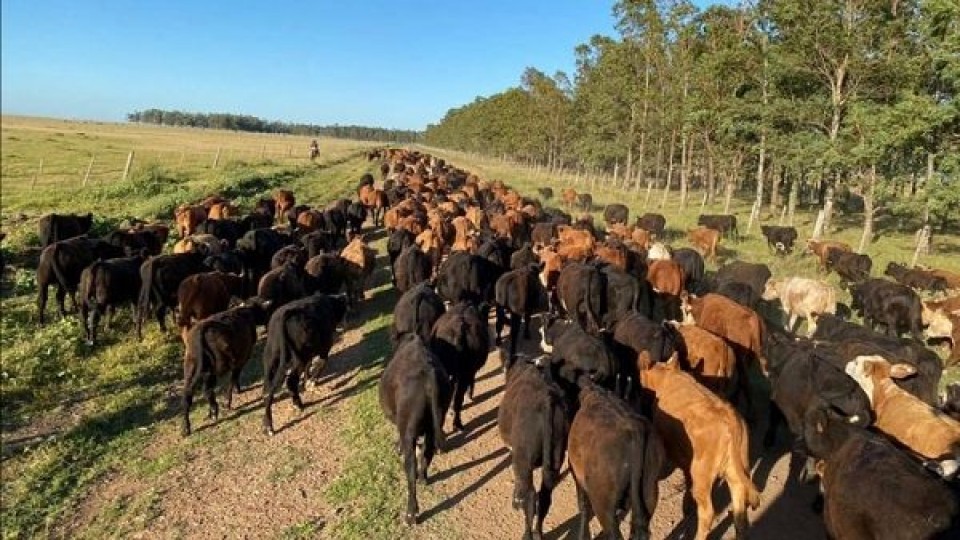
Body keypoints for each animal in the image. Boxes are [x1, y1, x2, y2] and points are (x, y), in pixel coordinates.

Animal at [180, 302, 268, 436]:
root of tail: (202, 328)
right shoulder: (242, 358)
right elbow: (234, 377)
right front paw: (232, 397)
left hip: (191, 368)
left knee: (188, 395)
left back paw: (187, 427)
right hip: (215, 368)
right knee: (207, 390)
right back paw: (214, 410)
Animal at [262, 292, 348, 434]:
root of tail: (285, 313)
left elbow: (310, 367)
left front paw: (307, 381)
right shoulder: (325, 348)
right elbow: (321, 363)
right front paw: (311, 383)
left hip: (271, 360)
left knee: (268, 390)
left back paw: (268, 424)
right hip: (300, 358)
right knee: (290, 381)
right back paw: (298, 404)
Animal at [376, 336, 452, 524]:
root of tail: (429, 378)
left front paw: (397, 447)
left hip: (409, 432)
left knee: (411, 469)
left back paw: (411, 513)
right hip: (434, 426)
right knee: (427, 453)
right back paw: (423, 478)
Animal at [640, 354, 760, 540]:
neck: (668, 376)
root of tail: (730, 418)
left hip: (702, 474)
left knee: (708, 512)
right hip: (736, 469)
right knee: (739, 501)